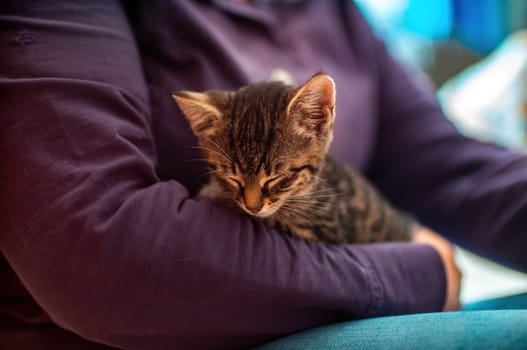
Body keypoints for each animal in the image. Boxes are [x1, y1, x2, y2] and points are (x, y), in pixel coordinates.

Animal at [173, 74, 416, 243]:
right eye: (233, 178)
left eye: (275, 178)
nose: (253, 207)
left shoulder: (325, 230)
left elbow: (272, 218)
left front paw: (215, 195)